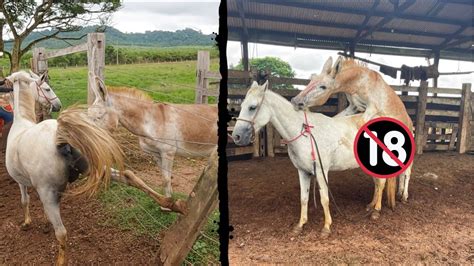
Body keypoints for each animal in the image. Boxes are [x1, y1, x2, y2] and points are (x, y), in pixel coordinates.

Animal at [5, 71, 124, 264]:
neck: (22, 123)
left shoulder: (21, 182)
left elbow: (25, 201)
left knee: (61, 233)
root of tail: (60, 138)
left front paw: (27, 222)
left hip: (50, 195)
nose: (58, 105)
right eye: (47, 88)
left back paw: (61, 260)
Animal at [87, 75, 217, 197]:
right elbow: (164, 177)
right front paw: (168, 198)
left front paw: (169, 201)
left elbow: (166, 179)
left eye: (98, 117)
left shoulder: (168, 153)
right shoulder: (156, 154)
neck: (151, 122)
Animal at [231, 81, 386, 237]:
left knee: (381, 182)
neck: (305, 134)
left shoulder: (321, 171)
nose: (236, 137)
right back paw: (370, 206)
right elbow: (304, 198)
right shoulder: (302, 171)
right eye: (242, 105)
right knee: (376, 182)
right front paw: (300, 225)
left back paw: (376, 211)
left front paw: (326, 227)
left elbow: (324, 199)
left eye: (252, 107)